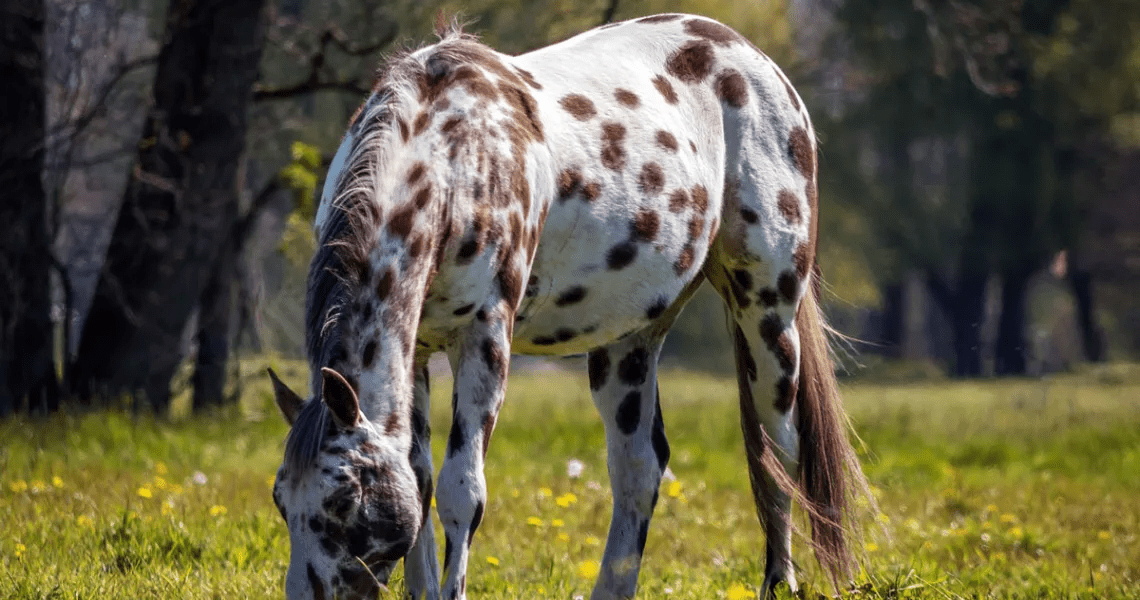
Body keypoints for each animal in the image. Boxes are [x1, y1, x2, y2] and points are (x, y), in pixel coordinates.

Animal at [267, 13, 871, 600]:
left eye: (344, 502)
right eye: (280, 498)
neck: (453, 156)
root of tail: (755, 60)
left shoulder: (486, 338)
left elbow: (463, 492)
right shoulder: (415, 350)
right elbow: (419, 481)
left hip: (768, 315)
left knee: (778, 454)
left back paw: (781, 580)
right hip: (629, 342)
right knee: (638, 470)